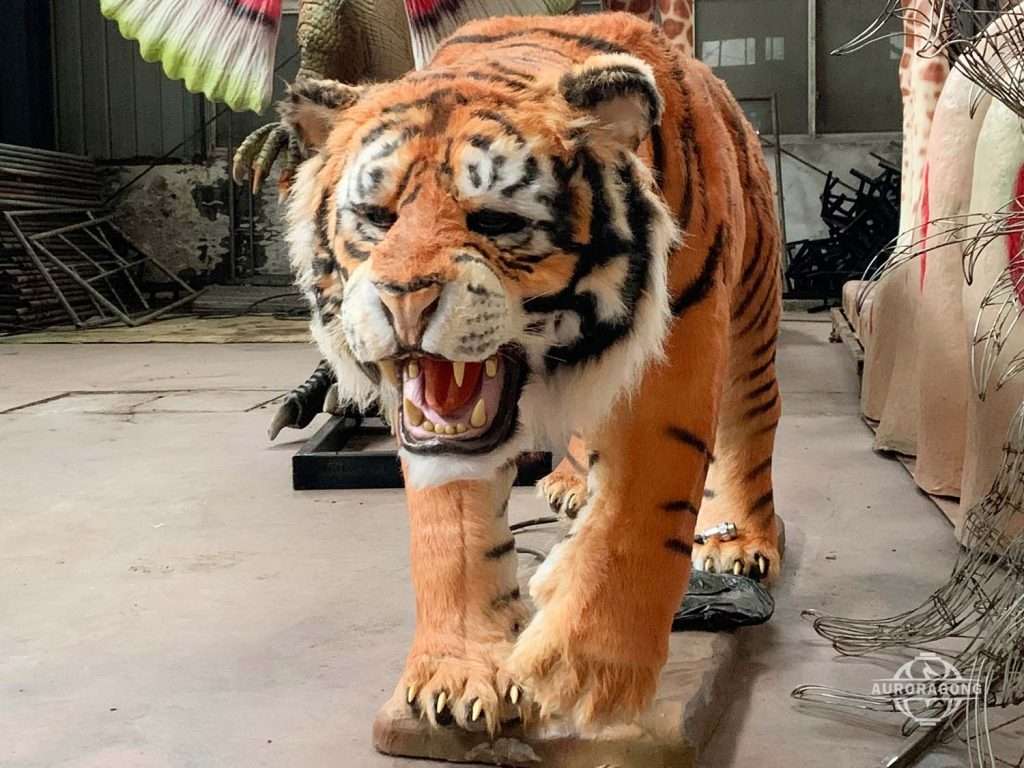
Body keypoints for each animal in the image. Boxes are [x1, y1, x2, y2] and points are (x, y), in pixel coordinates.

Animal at [283, 12, 782, 731]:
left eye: (494, 220)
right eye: (377, 218)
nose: (404, 298)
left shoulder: (677, 353)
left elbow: (635, 515)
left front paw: (583, 672)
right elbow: (453, 532)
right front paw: (459, 676)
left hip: (751, 320)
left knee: (749, 431)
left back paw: (740, 541)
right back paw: (569, 486)